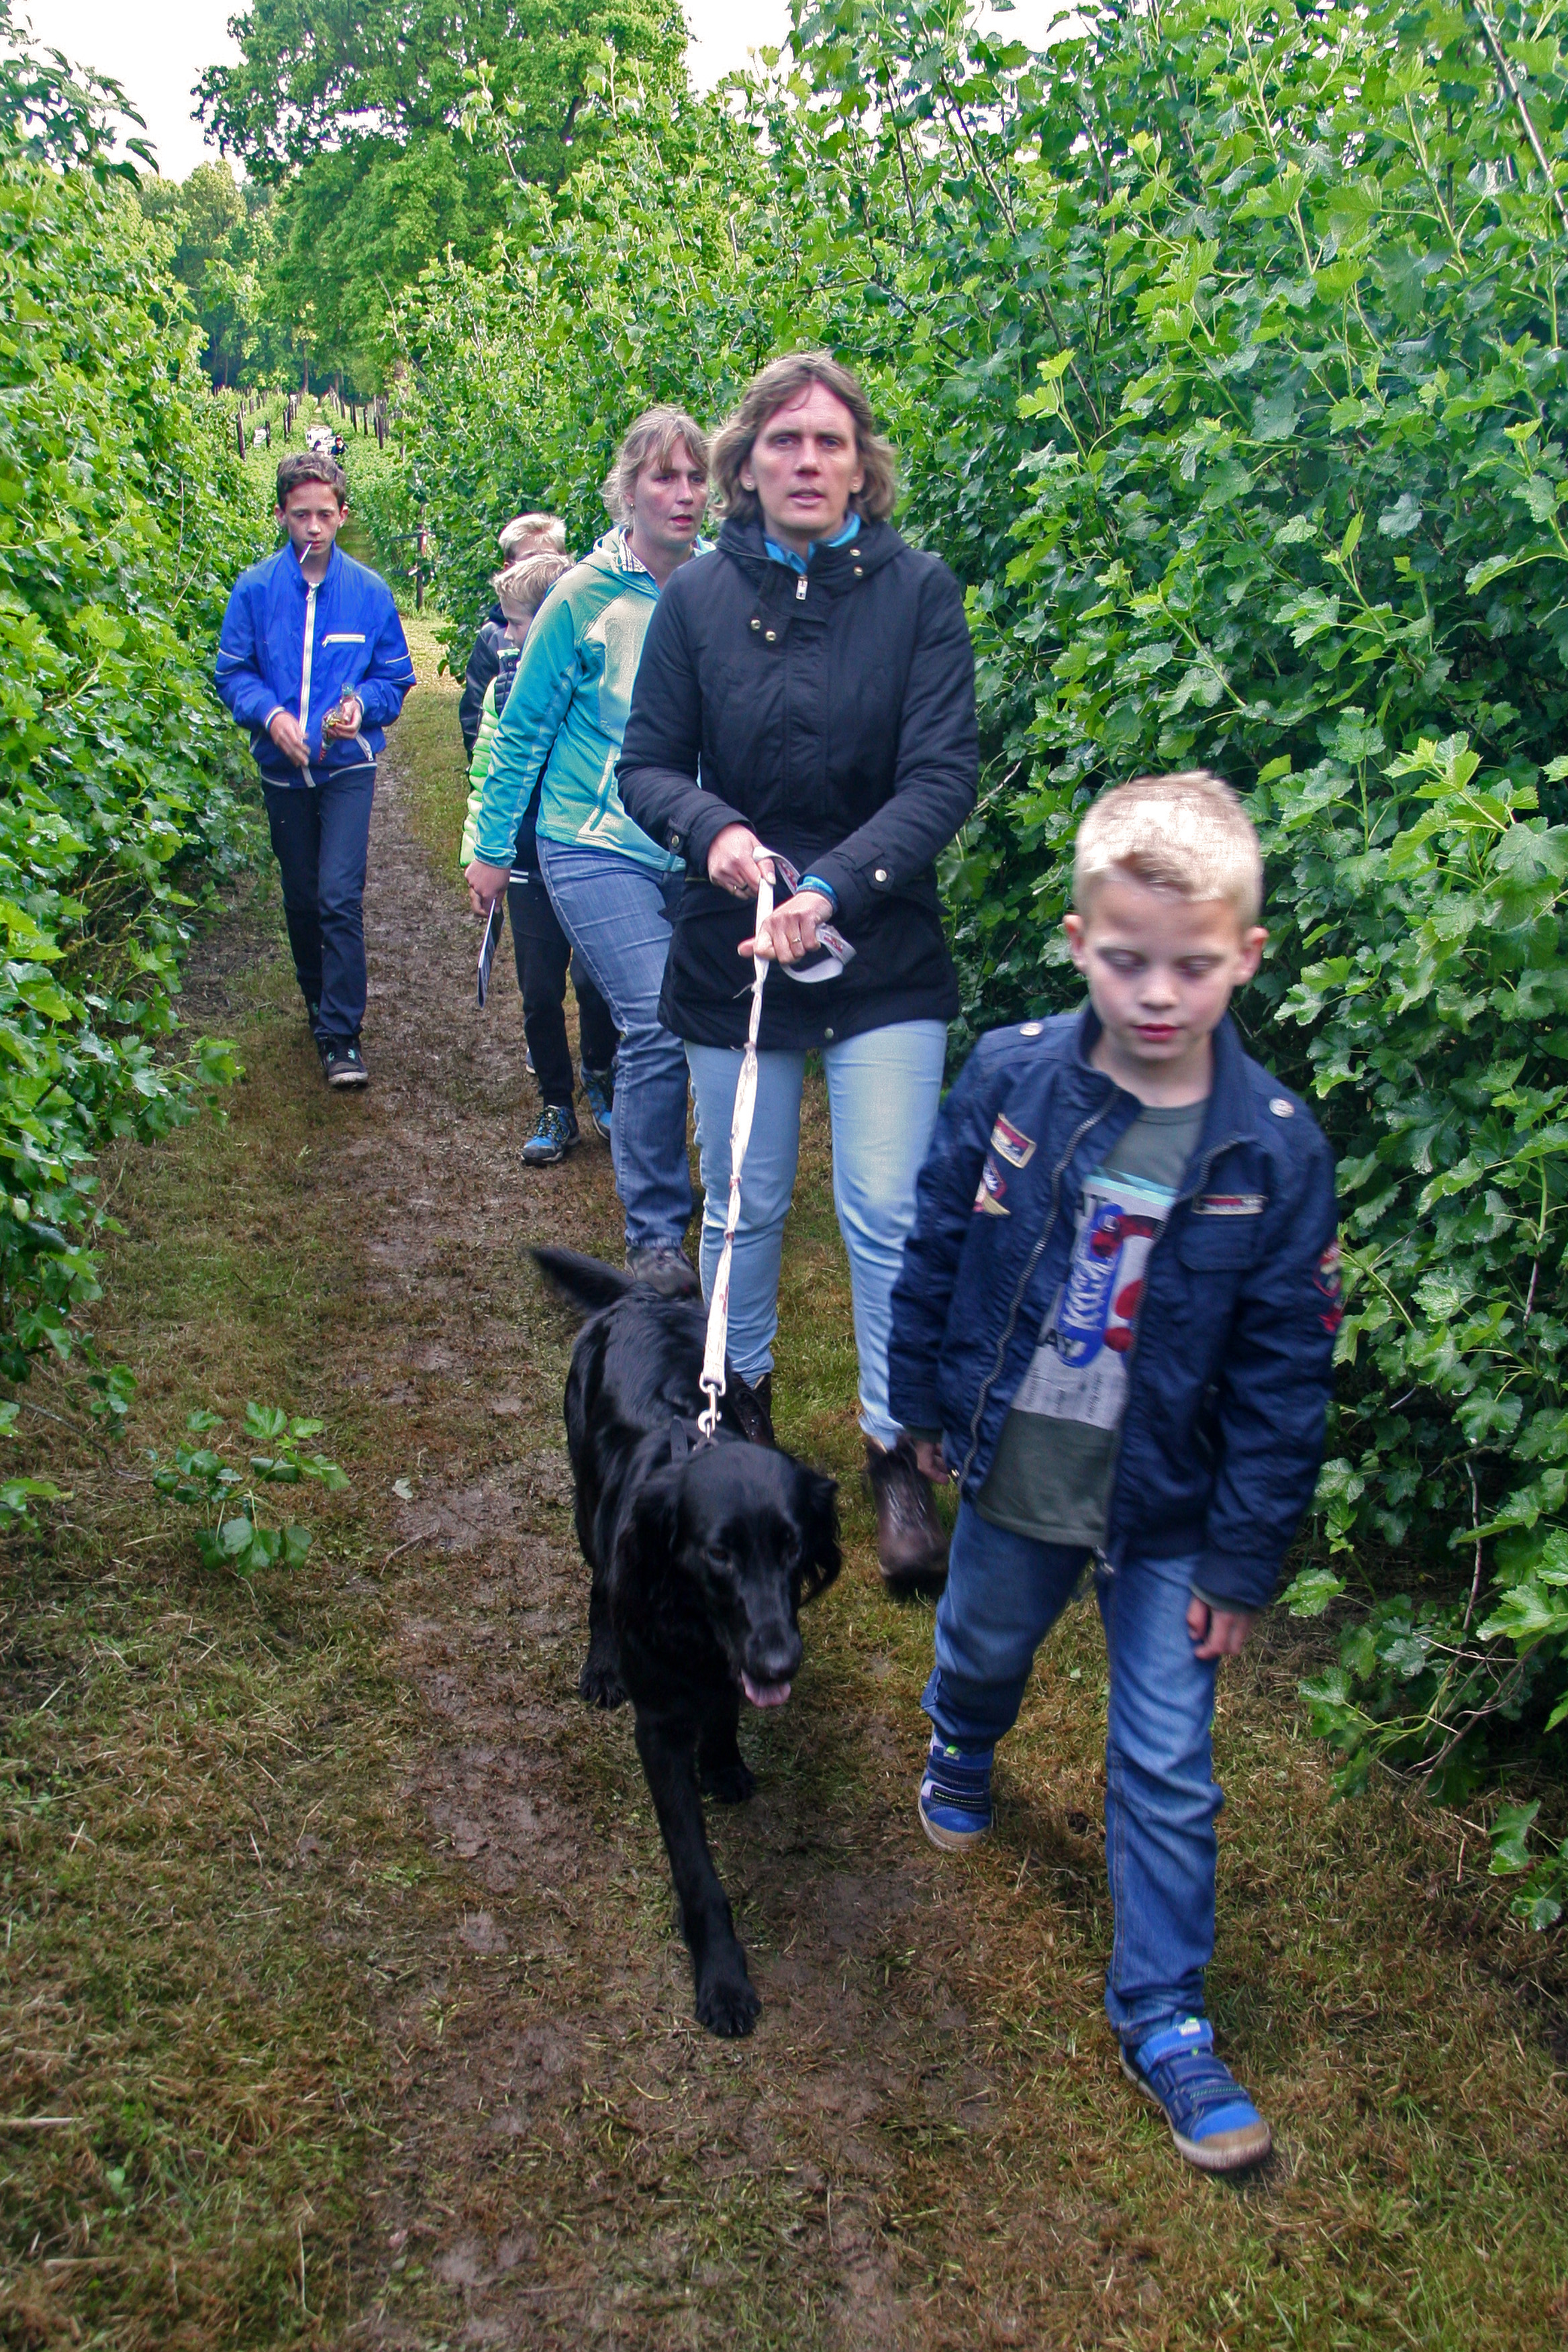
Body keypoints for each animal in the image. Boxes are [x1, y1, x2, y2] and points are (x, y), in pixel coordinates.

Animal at [533, 1247, 840, 2036]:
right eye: (718, 1554)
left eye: (792, 1547)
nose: (780, 1661)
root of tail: (641, 1296)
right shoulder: (659, 1728)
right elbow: (695, 1867)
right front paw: (724, 1979)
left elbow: (726, 1708)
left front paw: (724, 1761)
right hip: (586, 1506)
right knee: (597, 1585)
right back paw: (601, 1665)